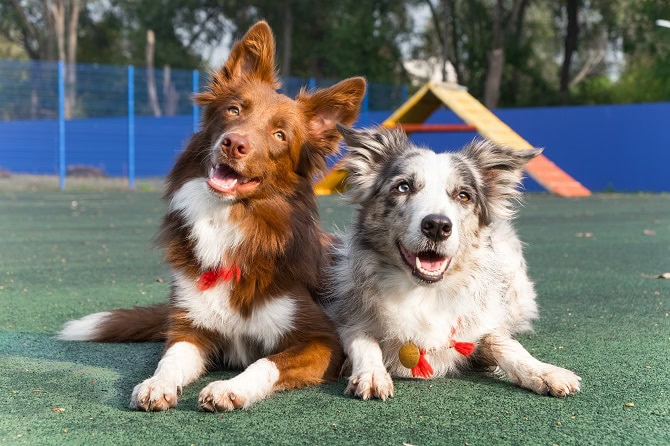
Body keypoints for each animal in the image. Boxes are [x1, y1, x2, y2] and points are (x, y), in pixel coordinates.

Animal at [59, 20, 368, 412]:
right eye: (235, 110)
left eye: (280, 135)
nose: (233, 144)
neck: (229, 220)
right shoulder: (189, 327)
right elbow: (170, 359)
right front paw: (156, 384)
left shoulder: (322, 340)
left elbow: (266, 362)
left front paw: (229, 388)